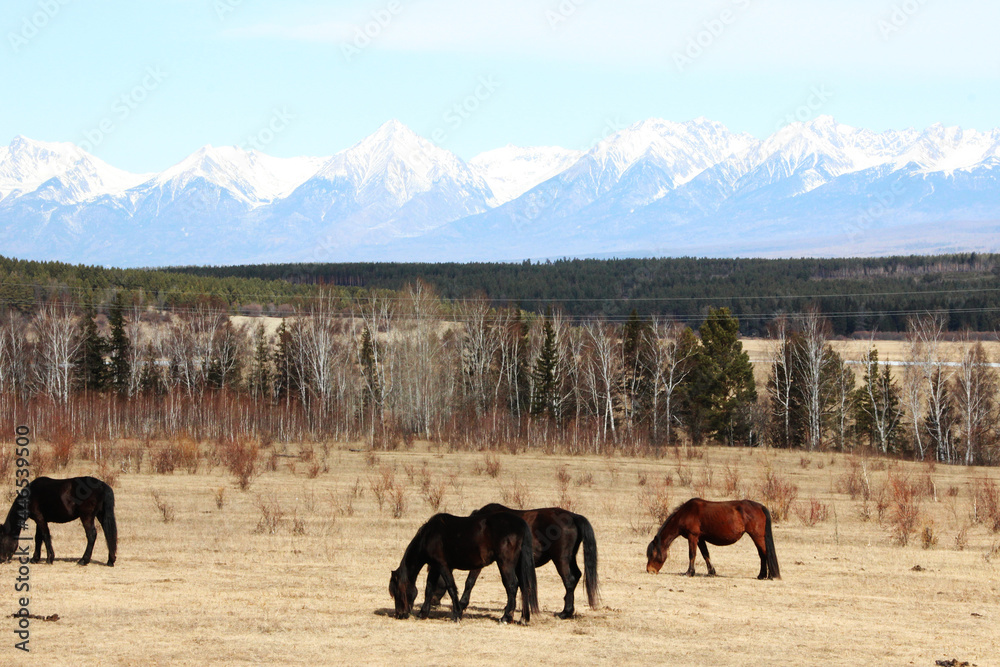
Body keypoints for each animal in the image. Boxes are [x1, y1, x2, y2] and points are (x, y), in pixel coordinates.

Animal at [389, 512, 539, 624]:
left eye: (397, 591)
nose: (400, 614)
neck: (429, 535)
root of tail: (520, 523)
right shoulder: (435, 567)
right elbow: (429, 588)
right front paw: (423, 613)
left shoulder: (442, 565)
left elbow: (450, 587)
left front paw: (456, 615)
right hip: (518, 565)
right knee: (524, 586)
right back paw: (523, 618)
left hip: (505, 564)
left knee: (512, 586)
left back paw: (506, 617)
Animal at [428, 503, 599, 619]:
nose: (434, 601)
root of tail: (573, 517)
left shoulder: (480, 561)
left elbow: (470, 581)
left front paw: (463, 604)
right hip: (570, 558)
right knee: (577, 576)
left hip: (561, 559)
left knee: (569, 580)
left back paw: (565, 612)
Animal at [646, 498, 779, 580]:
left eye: (652, 554)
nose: (649, 570)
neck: (685, 514)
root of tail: (760, 507)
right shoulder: (700, 538)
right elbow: (706, 554)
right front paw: (711, 572)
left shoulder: (693, 536)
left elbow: (692, 554)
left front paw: (689, 572)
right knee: (762, 555)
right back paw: (762, 575)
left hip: (757, 536)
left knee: (765, 554)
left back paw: (770, 576)